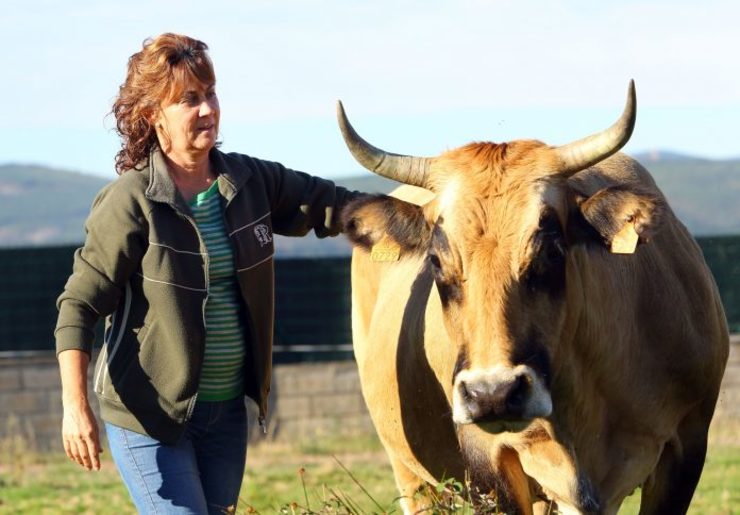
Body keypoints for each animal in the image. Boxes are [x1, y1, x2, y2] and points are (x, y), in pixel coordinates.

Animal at [340, 81, 728, 515]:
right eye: (436, 261)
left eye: (551, 251)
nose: (492, 393)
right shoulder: (489, 463)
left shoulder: (687, 443)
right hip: (411, 474)